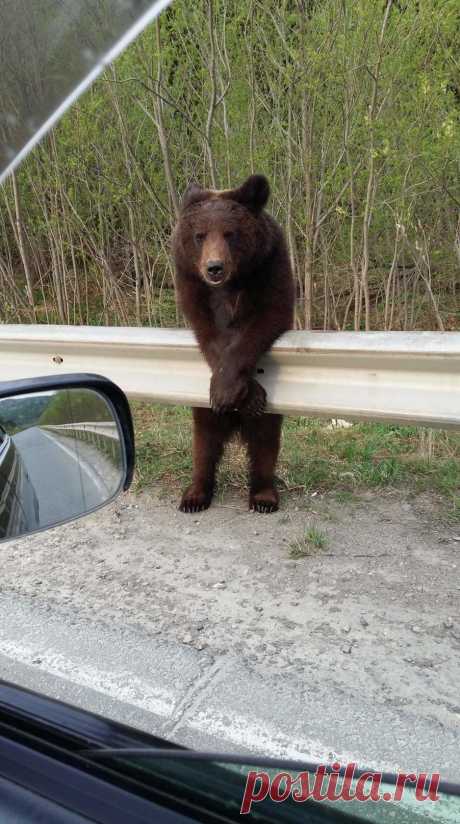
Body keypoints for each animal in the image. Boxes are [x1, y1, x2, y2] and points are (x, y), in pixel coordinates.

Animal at [172, 175, 294, 516]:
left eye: (230, 233)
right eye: (199, 235)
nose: (214, 267)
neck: (231, 282)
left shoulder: (270, 265)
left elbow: (268, 317)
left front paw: (242, 394)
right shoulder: (190, 279)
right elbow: (207, 332)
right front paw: (234, 391)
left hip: (269, 420)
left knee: (265, 443)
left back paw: (264, 495)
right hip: (202, 412)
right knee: (204, 442)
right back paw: (195, 495)